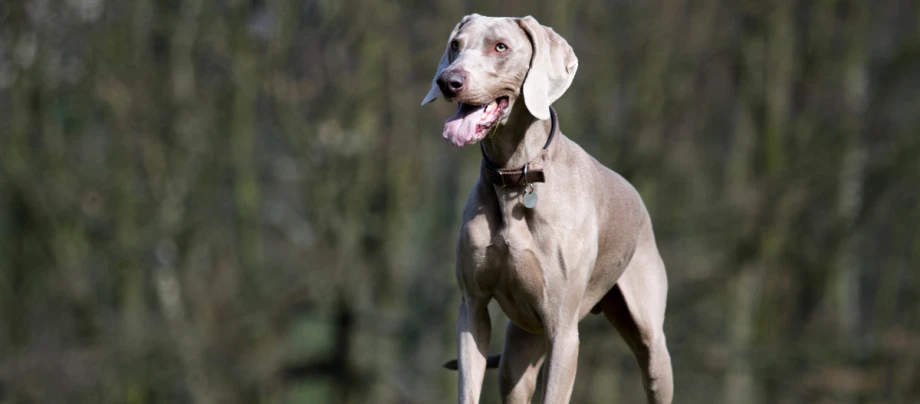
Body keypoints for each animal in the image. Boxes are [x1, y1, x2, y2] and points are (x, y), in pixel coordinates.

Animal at [420, 14, 672, 404]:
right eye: (455, 45)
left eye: (501, 47)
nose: (448, 81)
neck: (516, 176)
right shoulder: (472, 307)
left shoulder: (562, 328)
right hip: (519, 350)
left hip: (652, 344)